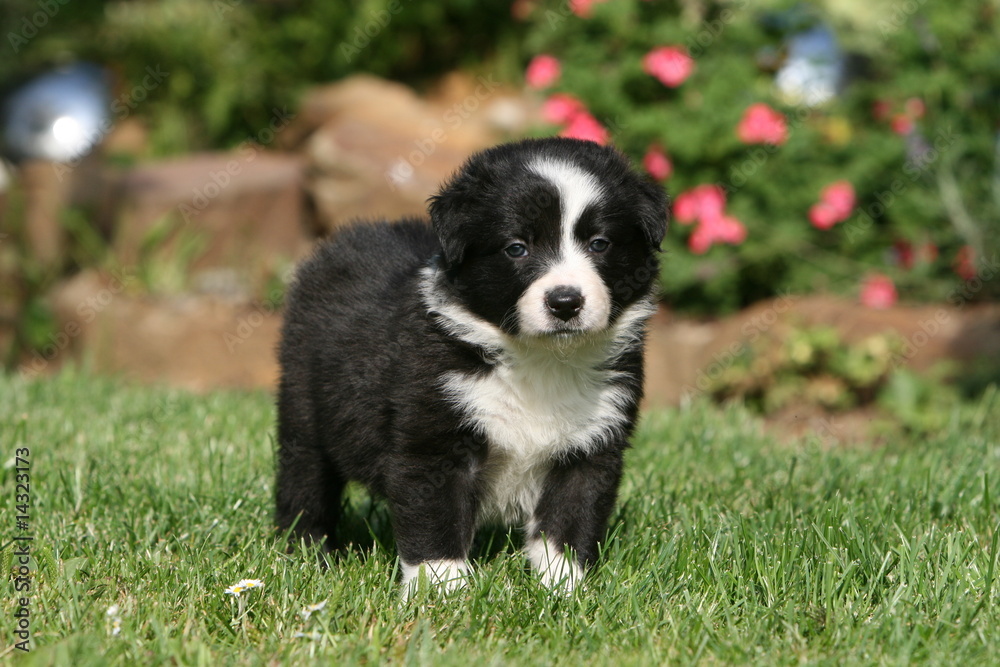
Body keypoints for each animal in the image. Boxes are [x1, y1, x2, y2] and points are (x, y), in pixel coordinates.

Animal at [274, 136, 668, 596]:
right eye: (517, 247)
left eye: (600, 243)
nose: (565, 302)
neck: (540, 359)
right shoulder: (432, 439)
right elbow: (436, 519)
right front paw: (442, 591)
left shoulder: (592, 444)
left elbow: (569, 520)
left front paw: (563, 590)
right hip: (304, 407)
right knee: (304, 481)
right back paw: (304, 552)